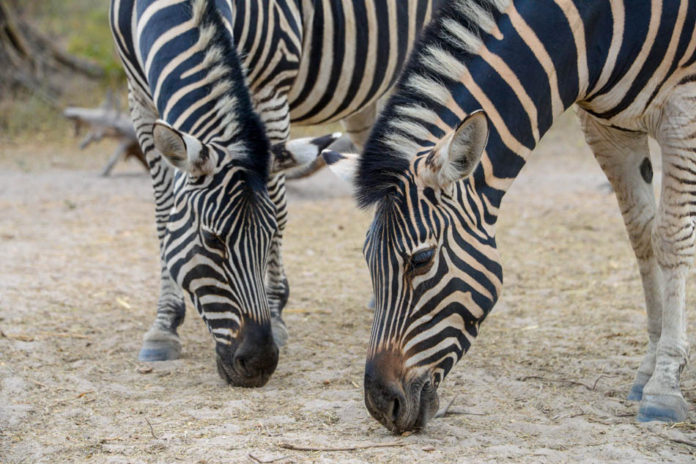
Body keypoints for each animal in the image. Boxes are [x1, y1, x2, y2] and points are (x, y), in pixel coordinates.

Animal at [111, 0, 444, 384]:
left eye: (269, 235)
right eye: (212, 239)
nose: (259, 362)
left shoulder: (270, 91)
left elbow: (279, 204)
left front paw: (276, 309)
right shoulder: (139, 97)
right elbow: (164, 212)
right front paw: (164, 326)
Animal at [324, 0, 696, 432]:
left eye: (422, 259)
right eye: (367, 259)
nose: (381, 405)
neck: (594, 31)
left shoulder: (683, 108)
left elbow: (670, 238)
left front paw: (664, 387)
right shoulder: (606, 127)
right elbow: (641, 236)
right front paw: (648, 370)